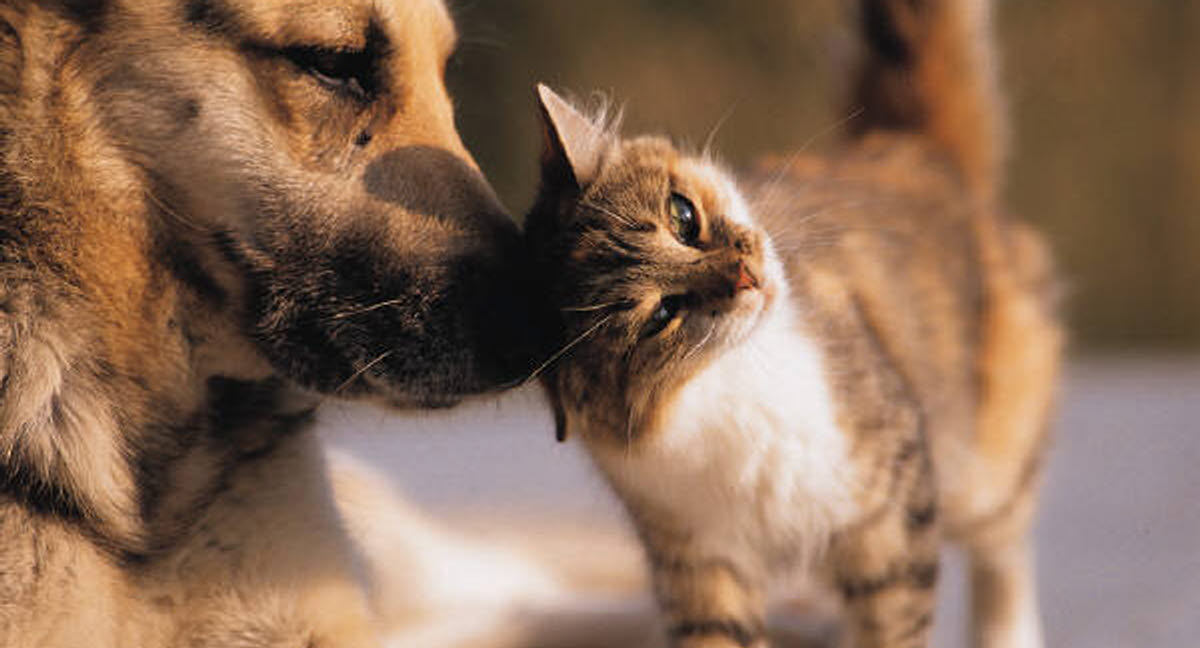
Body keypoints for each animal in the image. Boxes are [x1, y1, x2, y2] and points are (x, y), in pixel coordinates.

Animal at [525, 1, 1060, 648]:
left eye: (683, 217)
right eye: (661, 315)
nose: (746, 277)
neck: (732, 384)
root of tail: (912, 149)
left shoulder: (889, 516)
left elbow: (892, 627)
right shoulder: (700, 563)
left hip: (985, 466)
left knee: (1004, 552)